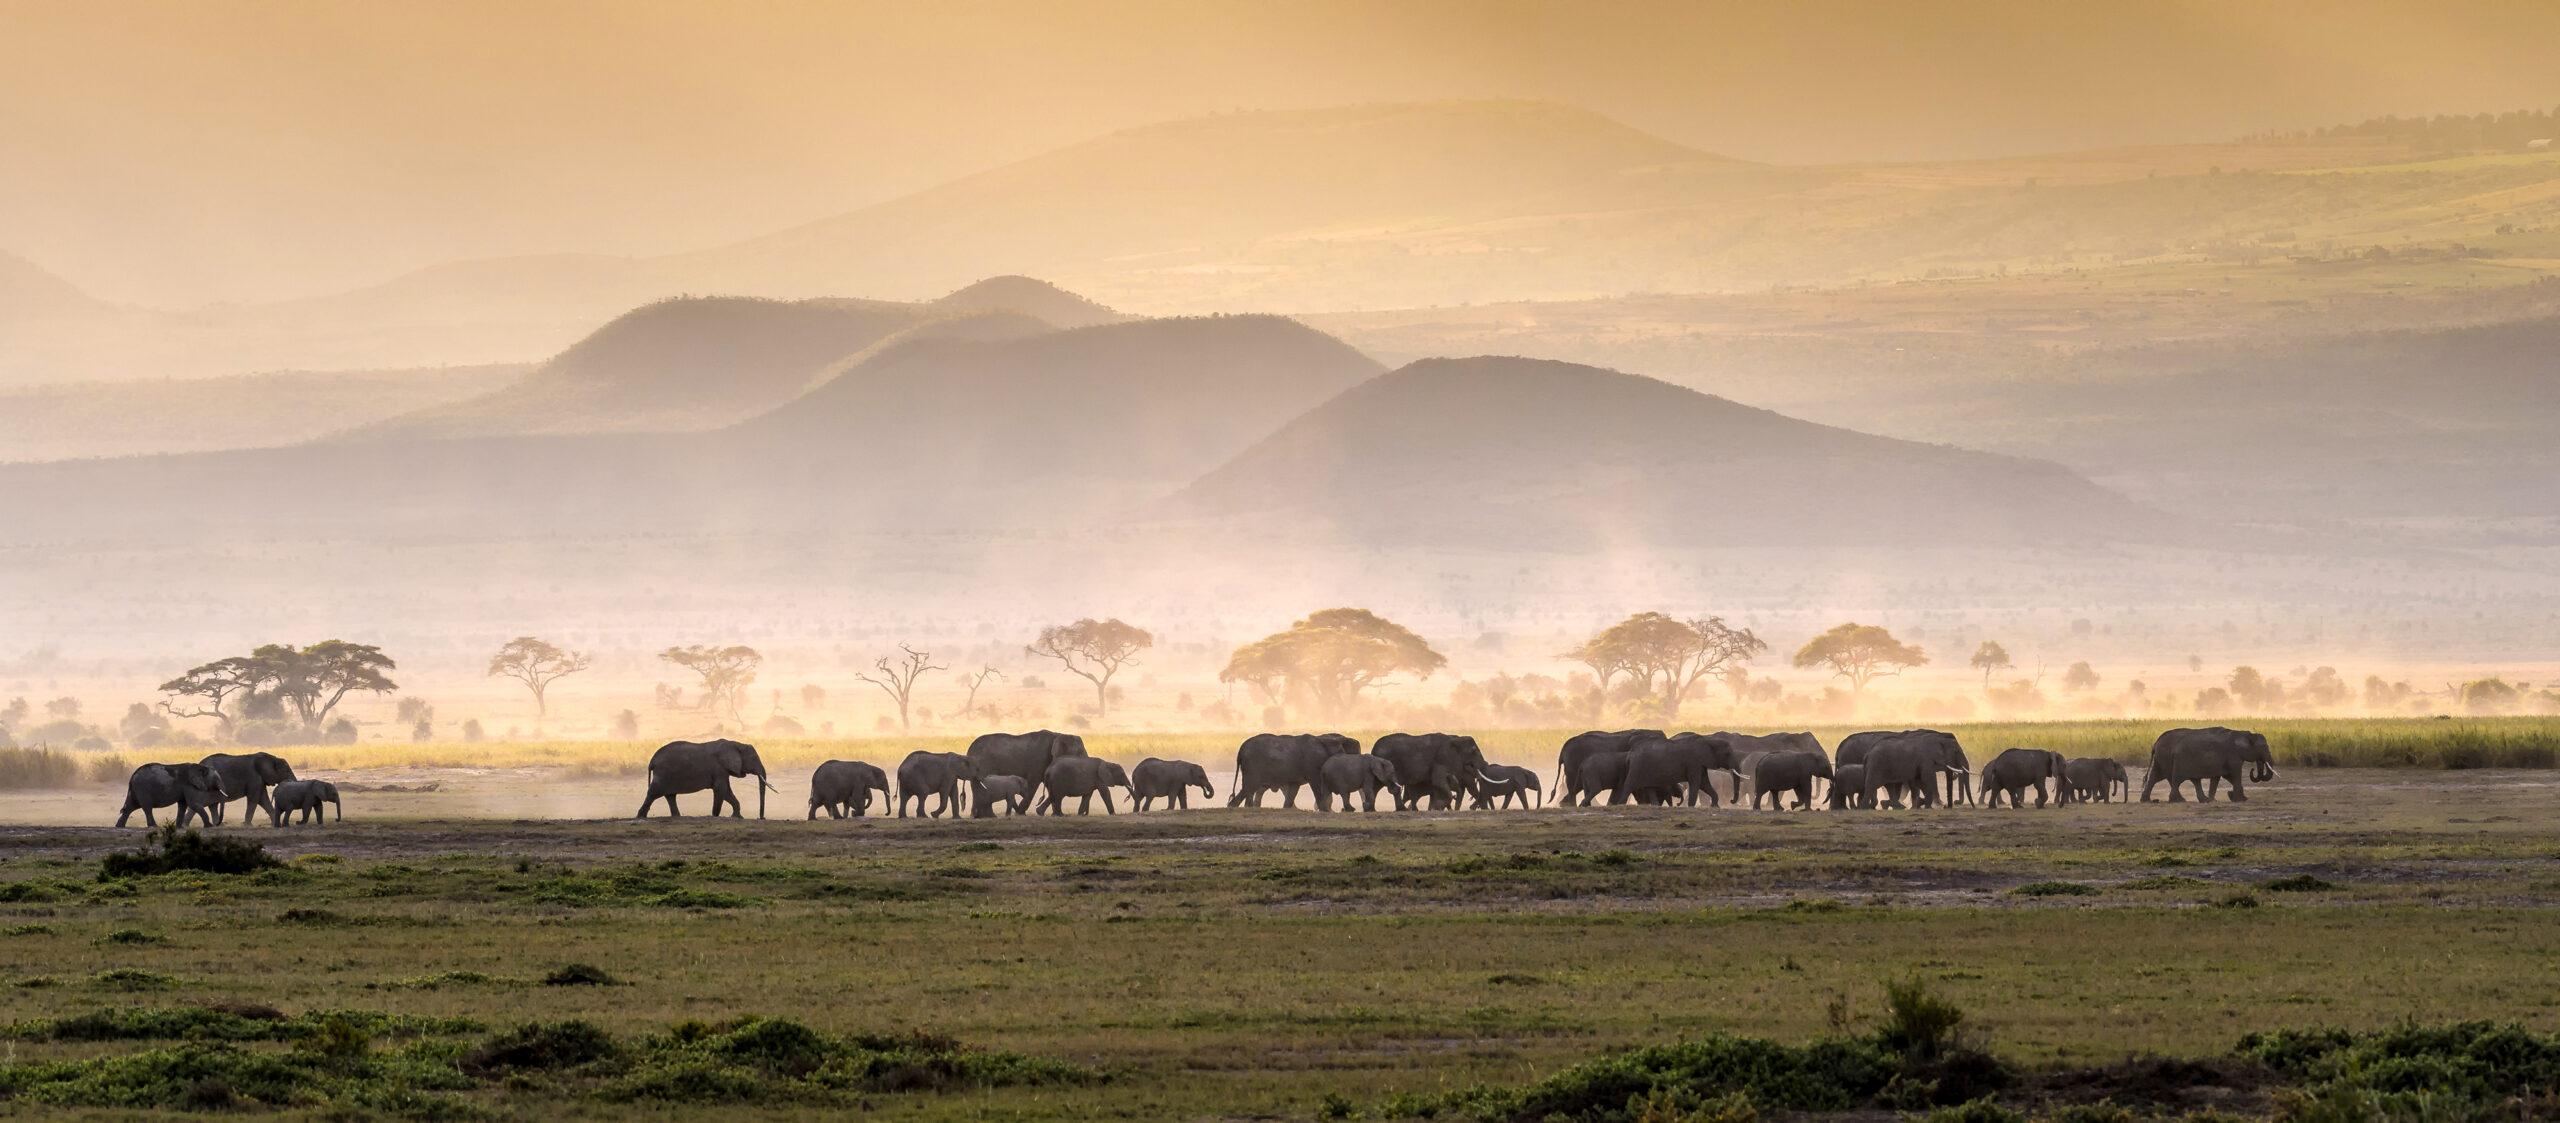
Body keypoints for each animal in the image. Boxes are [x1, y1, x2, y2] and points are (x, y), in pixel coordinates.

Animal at [635, 738, 771, 818]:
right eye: (753, 758)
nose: (761, 818)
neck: (736, 744)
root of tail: (652, 761)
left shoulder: (723, 770)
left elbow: (726, 791)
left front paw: (737, 817)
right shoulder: (718, 767)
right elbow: (721, 790)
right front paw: (715, 816)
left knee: (670, 796)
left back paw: (677, 817)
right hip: (663, 773)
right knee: (654, 793)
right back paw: (640, 817)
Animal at [1229, 733, 1360, 808]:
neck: (1329, 740)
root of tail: (1240, 750)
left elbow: (1293, 790)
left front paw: (1287, 808)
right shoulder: (1312, 764)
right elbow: (1316, 785)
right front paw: (1325, 810)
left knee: (1248, 789)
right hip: (1252, 766)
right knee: (1249, 787)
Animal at [2142, 727, 2275, 803]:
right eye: (2263, 747)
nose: (2253, 769)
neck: (2243, 733)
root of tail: (2156, 742)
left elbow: (2220, 777)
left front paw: (2224, 798)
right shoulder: (2233, 755)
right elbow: (2235, 774)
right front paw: (2239, 800)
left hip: (2162, 758)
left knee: (2156, 777)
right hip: (2175, 759)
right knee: (2176, 779)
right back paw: (2179, 801)